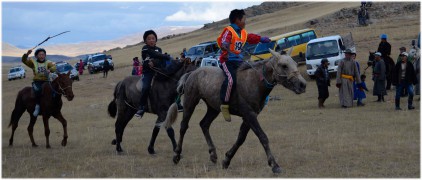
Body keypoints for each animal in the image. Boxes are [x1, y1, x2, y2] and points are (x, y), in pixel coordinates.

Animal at [165, 48, 306, 173]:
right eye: (284, 65)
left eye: (294, 63)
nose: (302, 85)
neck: (254, 82)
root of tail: (192, 73)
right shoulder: (249, 115)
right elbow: (263, 137)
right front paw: (274, 165)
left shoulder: (249, 116)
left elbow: (241, 138)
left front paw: (227, 160)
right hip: (190, 102)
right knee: (184, 126)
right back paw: (176, 155)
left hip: (213, 108)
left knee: (204, 124)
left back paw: (213, 154)